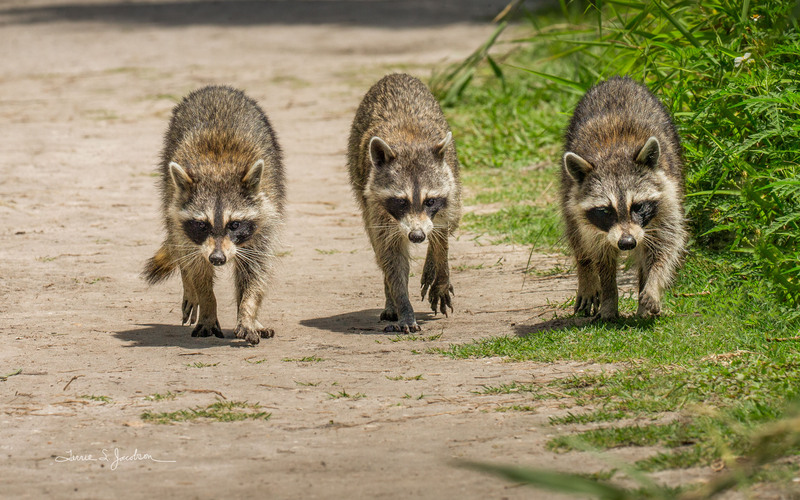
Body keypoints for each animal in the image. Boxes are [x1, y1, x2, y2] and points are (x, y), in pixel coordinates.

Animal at [142, 85, 285, 345]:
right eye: (202, 225)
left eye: (234, 224)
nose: (217, 259)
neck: (218, 169)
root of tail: (216, 88)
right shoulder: (188, 228)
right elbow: (197, 267)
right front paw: (207, 306)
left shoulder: (265, 219)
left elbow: (256, 270)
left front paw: (248, 312)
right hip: (168, 184)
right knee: (182, 251)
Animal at [347, 73, 462, 333]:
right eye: (401, 201)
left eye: (430, 201)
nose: (417, 236)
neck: (410, 141)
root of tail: (395, 75)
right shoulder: (377, 207)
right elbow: (391, 257)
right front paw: (402, 305)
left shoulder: (448, 194)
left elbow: (442, 234)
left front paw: (441, 270)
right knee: (379, 249)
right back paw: (391, 300)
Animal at [561, 76, 687, 320]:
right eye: (605, 210)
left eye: (638, 206)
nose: (627, 243)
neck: (615, 152)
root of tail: (617, 79)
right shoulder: (591, 220)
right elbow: (601, 256)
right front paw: (609, 296)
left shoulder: (667, 195)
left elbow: (665, 246)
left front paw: (652, 284)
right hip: (567, 184)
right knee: (576, 234)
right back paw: (586, 274)